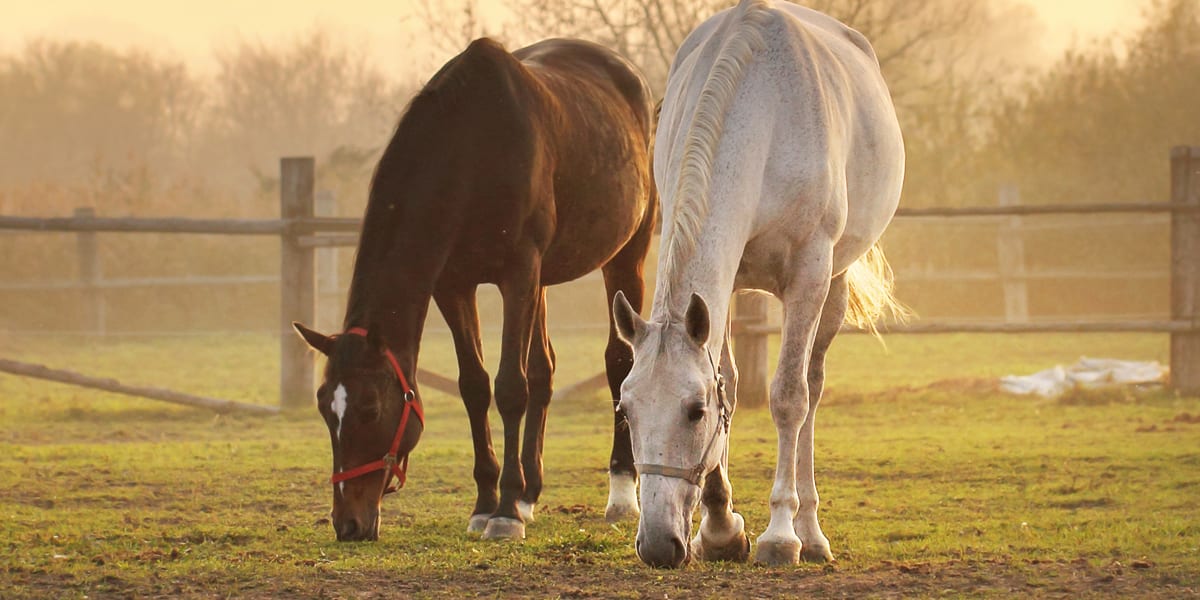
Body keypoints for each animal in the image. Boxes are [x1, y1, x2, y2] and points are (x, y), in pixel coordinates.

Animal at [293, 37, 657, 542]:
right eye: (326, 408)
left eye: (369, 408)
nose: (348, 523)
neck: (472, 147)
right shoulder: (454, 286)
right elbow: (475, 387)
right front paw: (488, 503)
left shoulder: (518, 273)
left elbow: (509, 388)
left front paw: (504, 513)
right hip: (543, 280)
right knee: (544, 370)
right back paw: (529, 492)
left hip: (625, 256)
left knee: (618, 361)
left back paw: (621, 493)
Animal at [611, 0, 905, 568]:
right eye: (626, 410)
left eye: (694, 411)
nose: (657, 545)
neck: (762, 113)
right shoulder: (722, 288)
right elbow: (728, 377)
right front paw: (721, 528)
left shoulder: (809, 273)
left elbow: (788, 396)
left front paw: (779, 535)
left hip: (832, 285)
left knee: (811, 388)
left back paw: (810, 532)